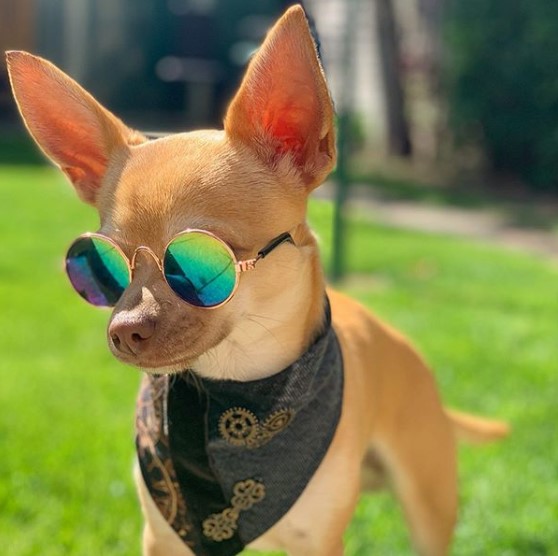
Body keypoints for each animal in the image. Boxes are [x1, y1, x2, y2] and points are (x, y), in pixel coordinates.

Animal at [7, 5, 508, 556]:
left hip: (428, 506)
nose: (123, 328)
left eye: (201, 264)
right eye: (102, 267)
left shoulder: (318, 540)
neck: (236, 388)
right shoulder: (162, 538)